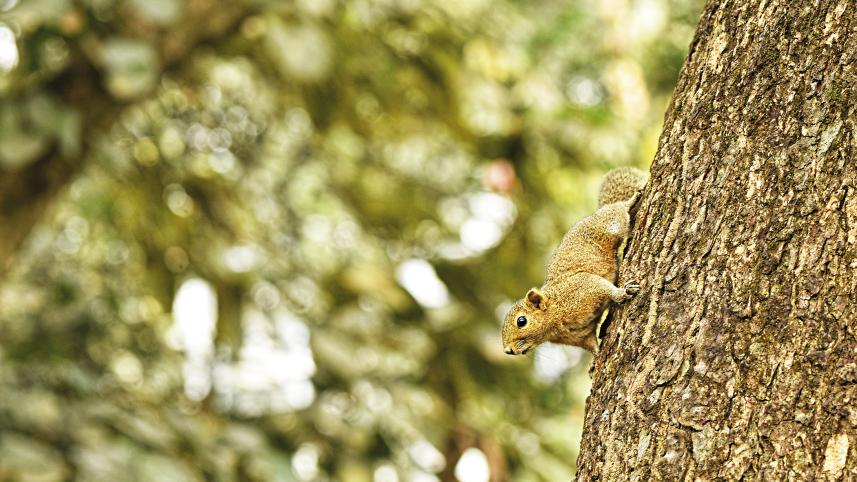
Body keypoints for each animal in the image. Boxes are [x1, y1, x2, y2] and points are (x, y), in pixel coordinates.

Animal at [501, 167, 648, 355]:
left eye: (521, 321)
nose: (509, 351)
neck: (554, 314)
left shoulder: (582, 287)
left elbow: (603, 287)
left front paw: (623, 292)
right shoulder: (581, 336)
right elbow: (592, 345)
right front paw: (597, 357)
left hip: (608, 225)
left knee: (616, 211)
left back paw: (631, 200)